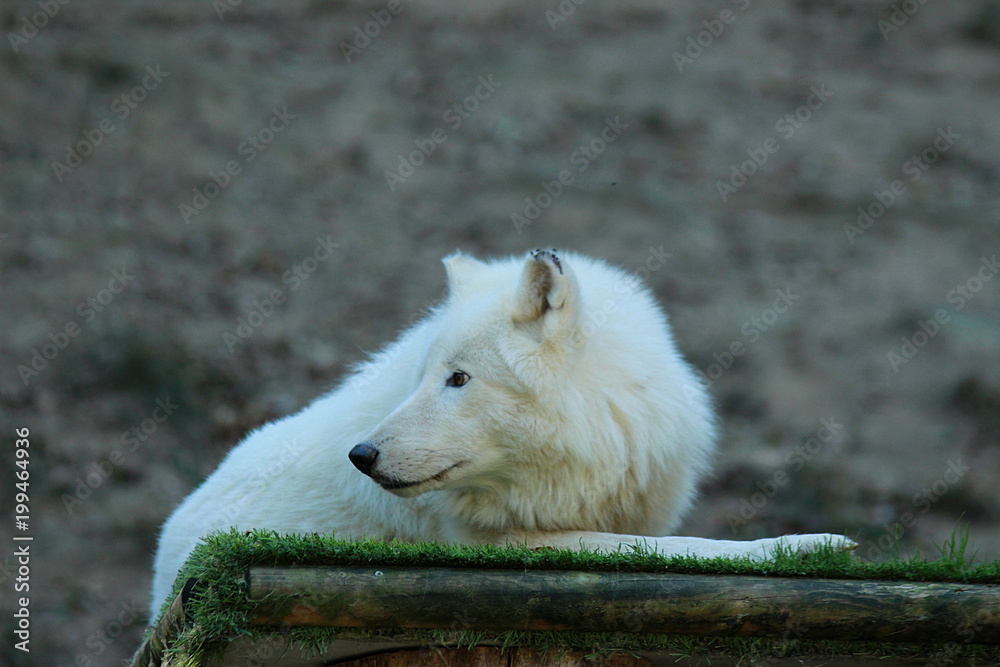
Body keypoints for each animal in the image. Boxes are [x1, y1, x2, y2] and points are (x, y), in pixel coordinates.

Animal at [149, 249, 853, 616]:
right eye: (424, 376)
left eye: (458, 379)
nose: (361, 454)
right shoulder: (508, 543)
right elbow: (677, 549)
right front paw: (806, 545)